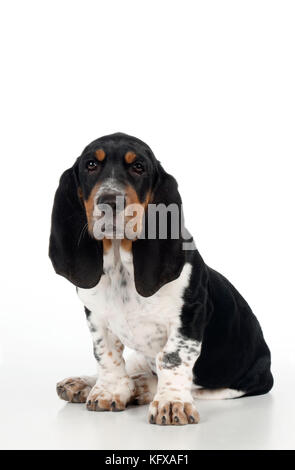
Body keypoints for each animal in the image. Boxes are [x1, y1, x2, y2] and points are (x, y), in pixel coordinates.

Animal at [49, 132, 274, 426]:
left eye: (138, 167)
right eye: (90, 165)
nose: (109, 201)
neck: (122, 266)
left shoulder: (189, 316)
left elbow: (171, 358)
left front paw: (171, 404)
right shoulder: (96, 316)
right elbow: (106, 353)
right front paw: (109, 390)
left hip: (235, 384)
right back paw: (84, 383)